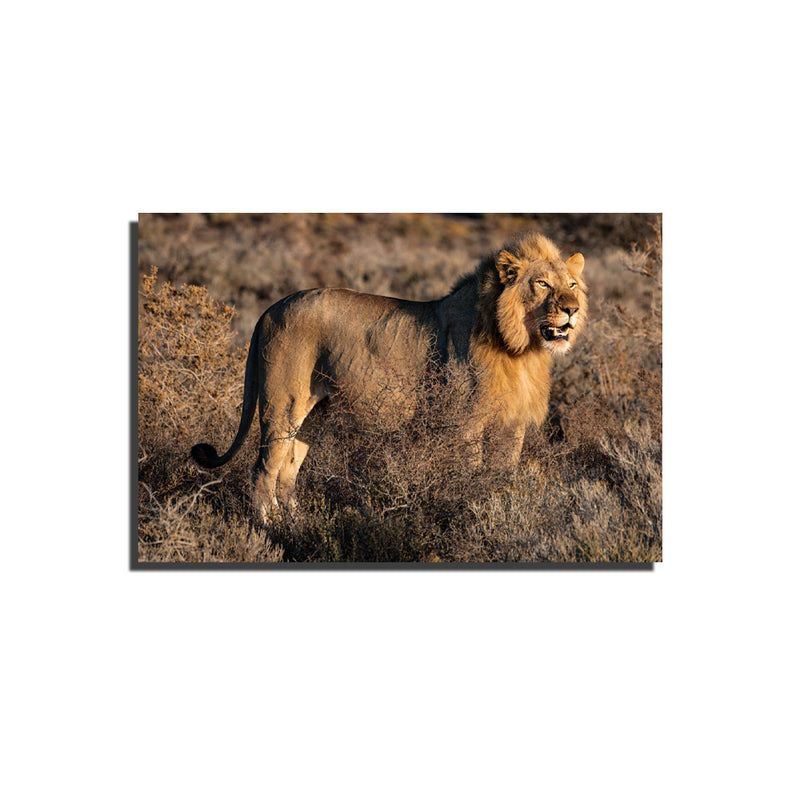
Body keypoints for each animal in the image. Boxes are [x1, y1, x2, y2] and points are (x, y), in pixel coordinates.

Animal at [191, 231, 586, 521]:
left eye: (571, 285)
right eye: (543, 284)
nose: (572, 310)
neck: (521, 349)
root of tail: (270, 309)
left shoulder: (512, 424)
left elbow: (501, 477)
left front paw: (498, 509)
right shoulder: (466, 424)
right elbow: (470, 476)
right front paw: (469, 511)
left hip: (315, 414)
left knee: (288, 473)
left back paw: (297, 525)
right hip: (282, 405)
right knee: (262, 471)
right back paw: (268, 530)